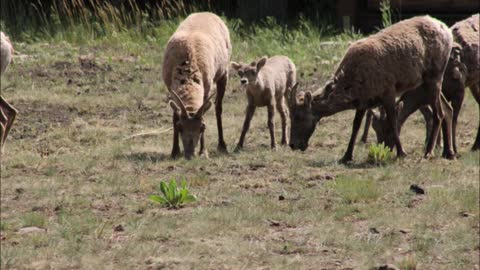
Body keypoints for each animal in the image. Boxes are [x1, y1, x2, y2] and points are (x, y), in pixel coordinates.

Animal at [162, 12, 232, 159]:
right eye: (180, 127)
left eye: (202, 127)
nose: (190, 155)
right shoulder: (169, 87)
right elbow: (174, 114)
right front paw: (174, 151)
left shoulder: (207, 86)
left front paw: (203, 152)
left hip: (224, 72)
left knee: (218, 107)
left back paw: (222, 145)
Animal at [288, 15, 454, 162]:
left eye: (298, 116)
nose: (292, 144)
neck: (352, 83)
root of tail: (447, 30)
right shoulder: (363, 101)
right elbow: (355, 126)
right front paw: (346, 156)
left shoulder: (388, 91)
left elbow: (393, 121)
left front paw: (401, 153)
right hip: (429, 82)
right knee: (447, 109)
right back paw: (449, 153)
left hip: (435, 76)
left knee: (438, 113)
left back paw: (429, 152)